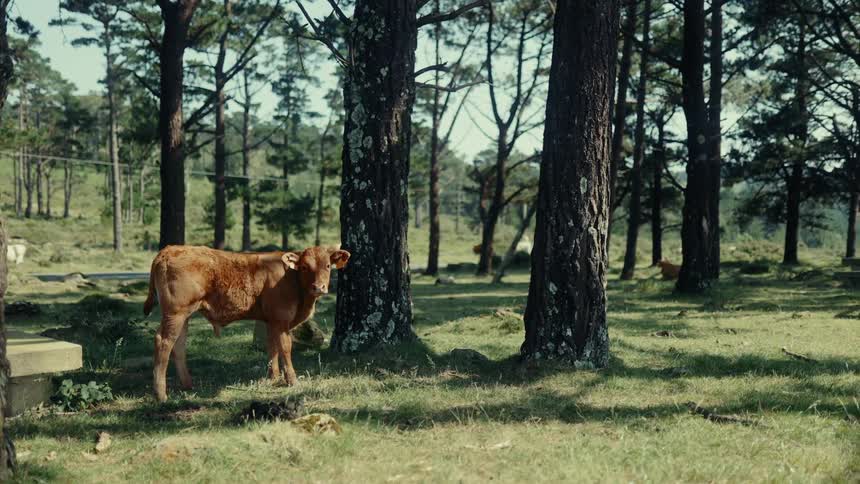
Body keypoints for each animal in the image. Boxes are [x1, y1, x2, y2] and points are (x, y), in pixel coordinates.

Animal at [143, 245, 350, 402]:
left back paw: (188, 385)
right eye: (305, 267)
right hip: (176, 312)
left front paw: (273, 378)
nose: (319, 287)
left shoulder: (271, 321)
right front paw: (291, 380)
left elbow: (272, 348)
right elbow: (285, 347)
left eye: (328, 265)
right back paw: (161, 395)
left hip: (184, 315)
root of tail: (169, 249)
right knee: (164, 342)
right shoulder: (281, 319)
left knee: (178, 346)